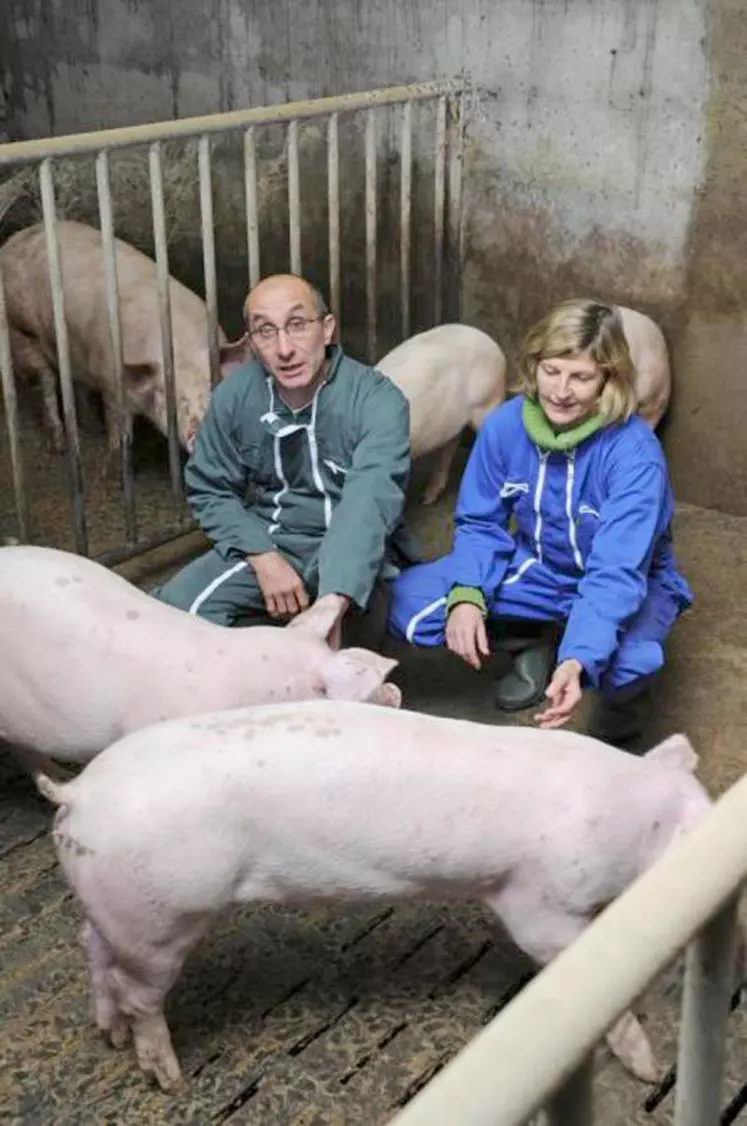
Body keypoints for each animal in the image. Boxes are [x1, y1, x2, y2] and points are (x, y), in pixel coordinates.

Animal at [0, 219, 242, 457]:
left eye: (213, 387)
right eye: (171, 396)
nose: (199, 430)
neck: (180, 346)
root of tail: (12, 241)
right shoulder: (111, 387)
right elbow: (118, 426)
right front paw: (116, 449)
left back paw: (91, 426)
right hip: (19, 330)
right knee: (46, 381)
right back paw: (59, 444)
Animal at [35, 702, 712, 1089]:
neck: (625, 820)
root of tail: (79, 793)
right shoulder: (537, 900)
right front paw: (651, 1070)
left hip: (118, 910)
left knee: (93, 950)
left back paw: (109, 1036)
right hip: (162, 915)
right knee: (139, 993)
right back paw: (168, 1078)